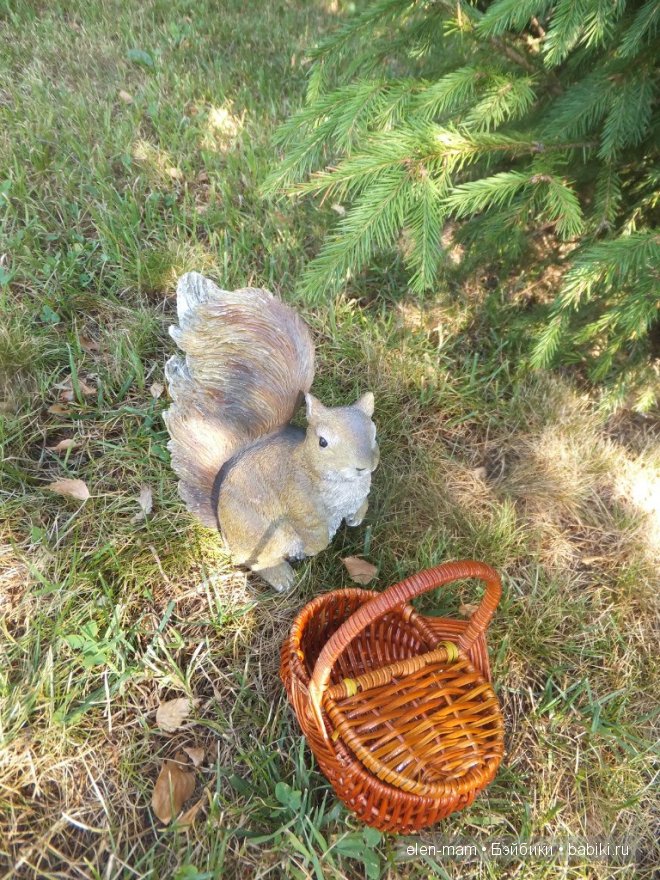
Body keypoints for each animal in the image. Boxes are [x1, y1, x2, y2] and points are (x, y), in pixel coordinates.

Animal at [163, 272, 379, 591]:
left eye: (373, 433)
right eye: (322, 442)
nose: (362, 467)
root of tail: (225, 531)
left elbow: (361, 504)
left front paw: (356, 518)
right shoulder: (298, 498)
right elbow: (309, 525)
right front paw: (316, 545)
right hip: (270, 536)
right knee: (256, 563)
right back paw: (284, 577)